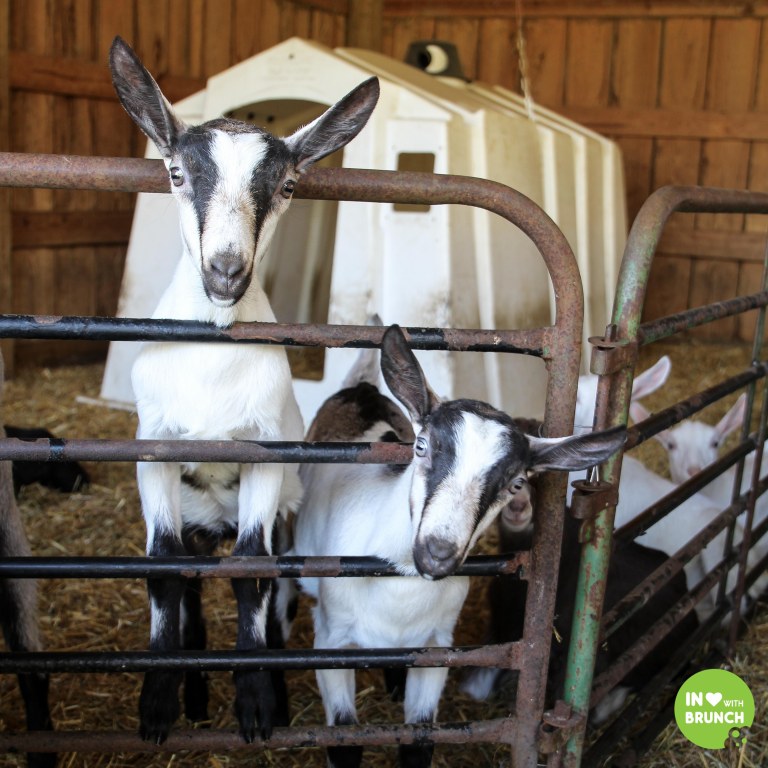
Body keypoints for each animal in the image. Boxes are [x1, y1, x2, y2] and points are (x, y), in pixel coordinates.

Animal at [108, 35, 379, 744]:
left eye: (286, 186)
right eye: (175, 173)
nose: (226, 272)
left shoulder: (264, 454)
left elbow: (253, 573)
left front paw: (257, 705)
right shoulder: (155, 451)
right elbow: (163, 571)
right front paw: (158, 705)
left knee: (272, 591)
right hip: (196, 513)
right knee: (192, 579)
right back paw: (197, 693)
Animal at [291, 324, 626, 768]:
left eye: (515, 482)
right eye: (421, 446)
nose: (437, 552)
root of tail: (361, 390)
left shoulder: (437, 649)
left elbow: (419, 741)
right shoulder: (329, 642)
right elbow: (345, 741)